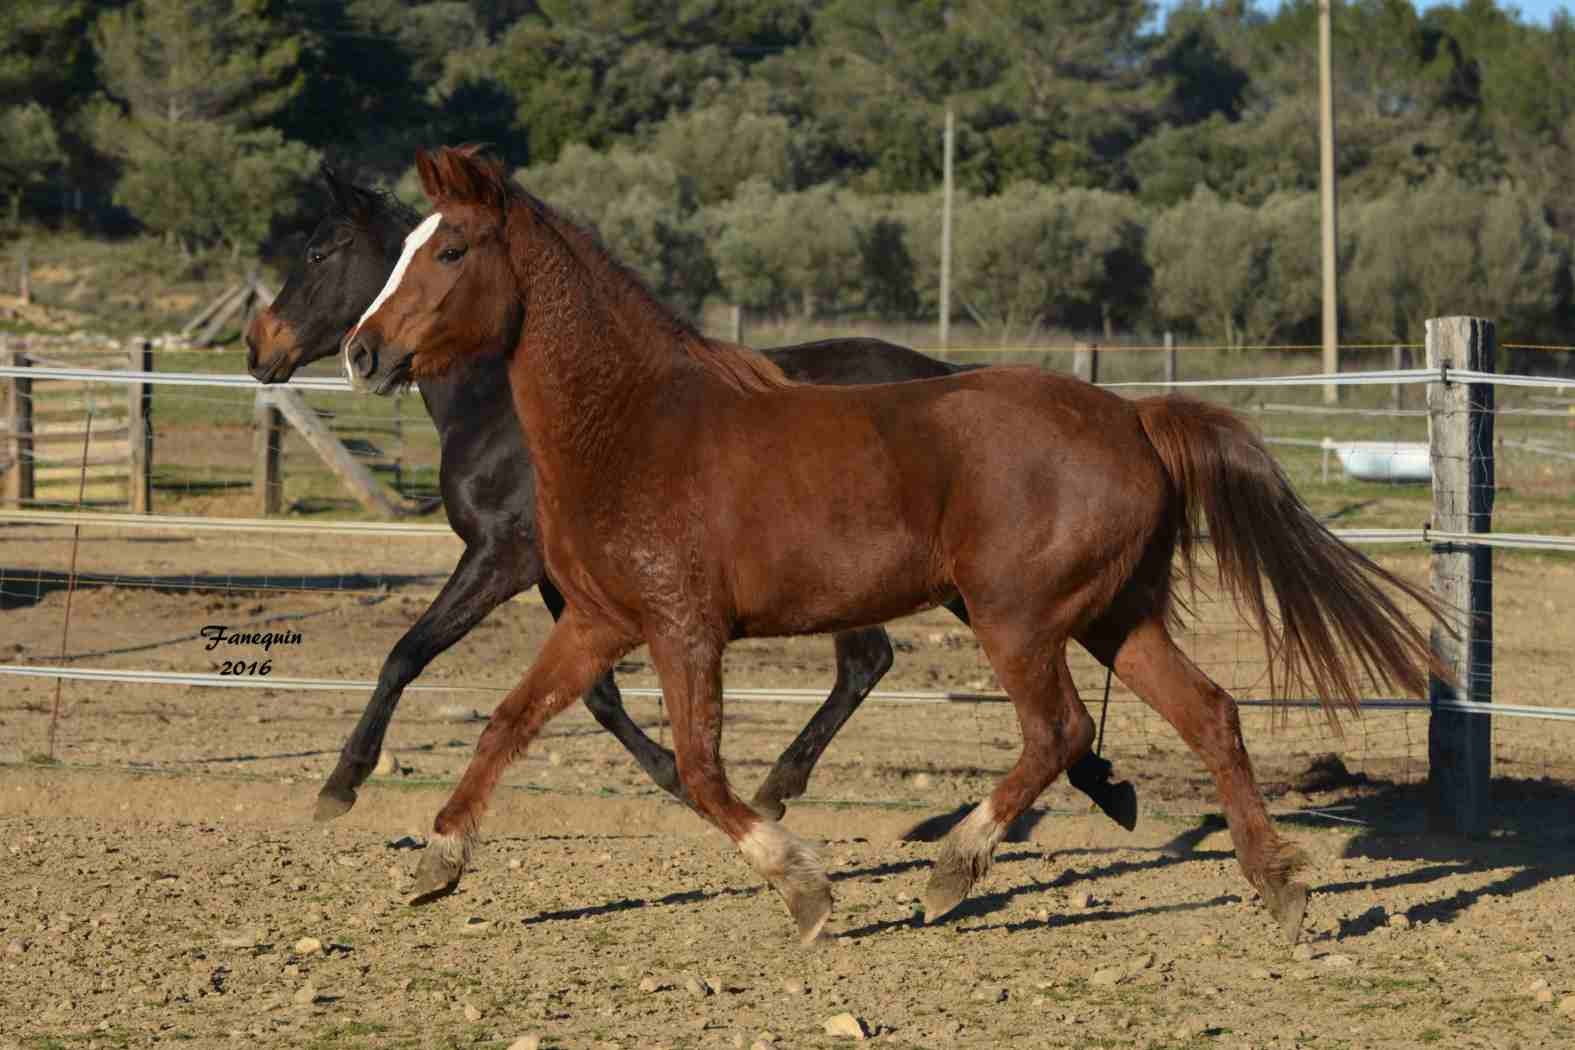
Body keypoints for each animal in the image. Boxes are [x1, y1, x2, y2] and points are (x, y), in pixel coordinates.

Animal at [242, 166, 1134, 831]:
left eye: (320, 250)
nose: (260, 349)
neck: (511, 406)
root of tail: (952, 375)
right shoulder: (566, 579)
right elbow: (596, 694)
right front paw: (677, 774)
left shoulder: (502, 556)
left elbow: (407, 653)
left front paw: (339, 784)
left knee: (886, 662)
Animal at [338, 145, 1442, 944]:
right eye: (400, 249)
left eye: (449, 252)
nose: (360, 352)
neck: (631, 424)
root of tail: (1134, 416)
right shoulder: (601, 621)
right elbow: (508, 724)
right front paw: (434, 863)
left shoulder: (685, 628)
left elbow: (701, 772)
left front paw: (806, 892)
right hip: (1114, 615)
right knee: (1208, 714)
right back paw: (1280, 891)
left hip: (1018, 618)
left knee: (1059, 733)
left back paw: (952, 873)